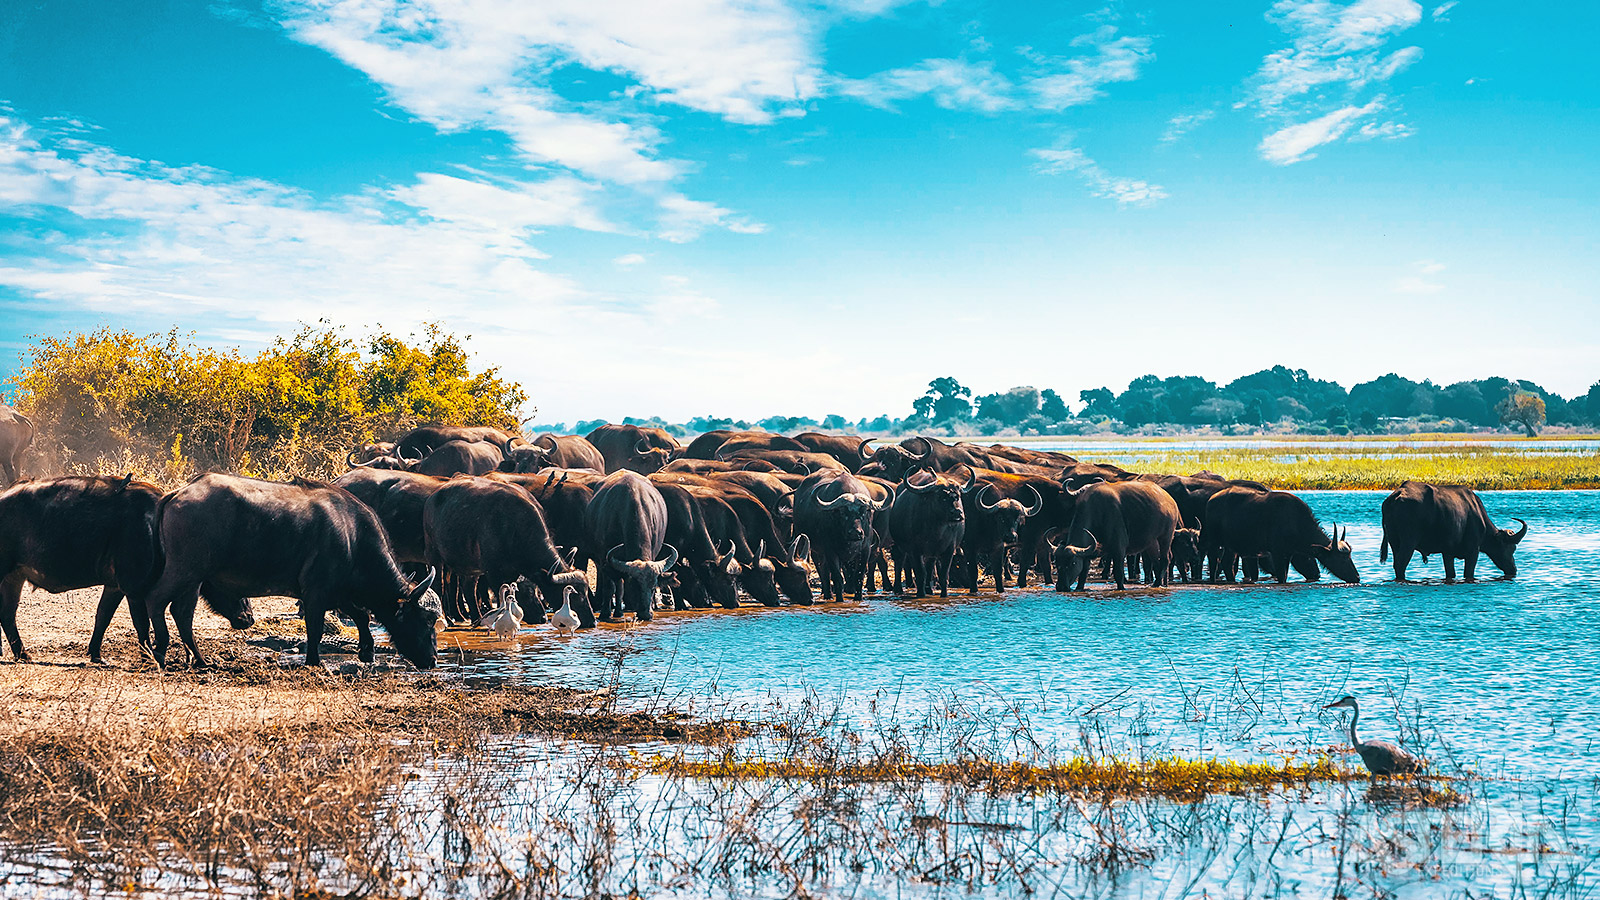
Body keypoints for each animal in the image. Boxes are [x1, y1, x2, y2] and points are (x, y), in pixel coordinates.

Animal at [137, 470, 435, 666]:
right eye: (424, 620)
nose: (432, 659)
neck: (352, 535)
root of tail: (177, 494)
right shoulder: (316, 592)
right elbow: (315, 628)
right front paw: (315, 661)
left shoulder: (339, 592)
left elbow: (361, 616)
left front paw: (367, 652)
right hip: (183, 570)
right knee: (155, 600)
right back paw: (160, 651)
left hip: (194, 578)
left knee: (182, 613)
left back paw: (199, 660)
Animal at [1376, 480, 1523, 576]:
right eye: (1511, 548)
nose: (1514, 569)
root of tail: (1398, 494)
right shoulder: (1473, 551)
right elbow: (1468, 572)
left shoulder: (1447, 552)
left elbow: (1450, 573)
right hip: (1409, 541)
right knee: (1401, 564)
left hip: (1394, 542)